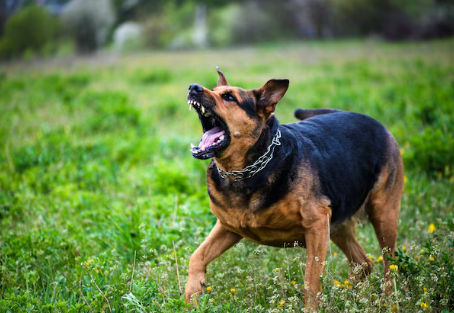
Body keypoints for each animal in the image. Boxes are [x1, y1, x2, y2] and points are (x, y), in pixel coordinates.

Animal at [184, 67, 404, 308]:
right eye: (215, 91)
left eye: (229, 97)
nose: (193, 87)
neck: (247, 169)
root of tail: (374, 121)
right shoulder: (227, 227)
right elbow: (197, 256)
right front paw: (192, 294)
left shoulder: (316, 225)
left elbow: (311, 281)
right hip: (338, 222)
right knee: (362, 262)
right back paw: (352, 297)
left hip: (383, 213)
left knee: (389, 265)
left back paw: (388, 301)